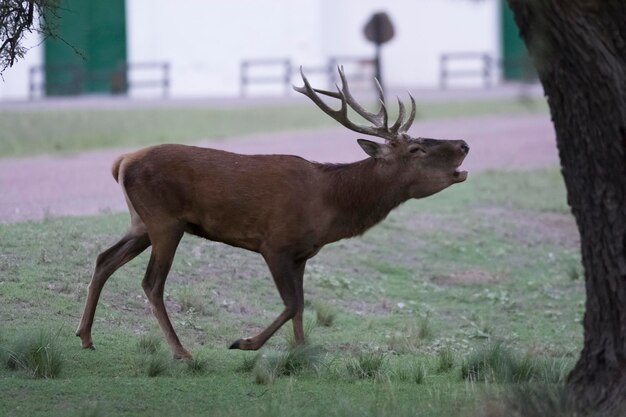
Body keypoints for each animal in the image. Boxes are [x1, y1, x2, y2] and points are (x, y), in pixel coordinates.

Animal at [74, 67, 468, 358]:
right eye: (416, 149)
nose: (464, 143)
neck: (330, 204)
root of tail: (121, 162)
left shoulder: (303, 253)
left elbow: (303, 304)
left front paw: (302, 351)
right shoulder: (275, 243)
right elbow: (291, 303)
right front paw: (244, 343)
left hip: (141, 222)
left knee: (104, 259)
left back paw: (86, 336)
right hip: (165, 221)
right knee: (151, 283)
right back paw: (181, 352)